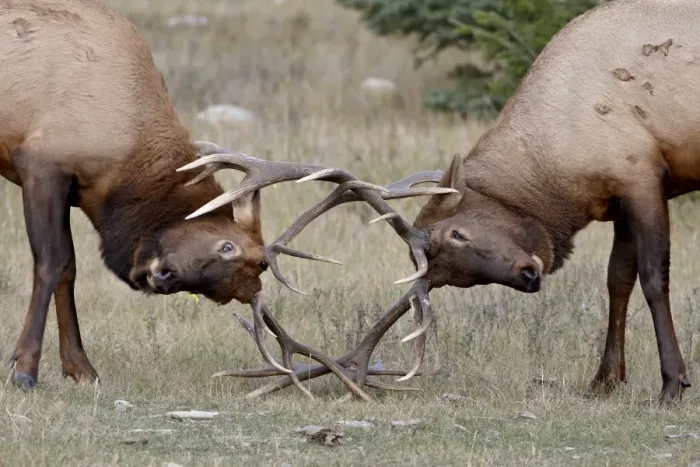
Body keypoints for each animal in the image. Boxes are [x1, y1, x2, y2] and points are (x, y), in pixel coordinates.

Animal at [0, 0, 455, 391]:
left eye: (221, 296)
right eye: (227, 246)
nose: (163, 277)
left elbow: (69, 270)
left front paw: (80, 368)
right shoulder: (41, 163)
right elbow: (53, 262)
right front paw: (24, 369)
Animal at [187, 0, 700, 405]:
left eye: (458, 232)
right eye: (456, 278)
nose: (528, 274)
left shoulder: (640, 176)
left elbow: (653, 279)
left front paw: (672, 383)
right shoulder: (618, 197)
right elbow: (617, 280)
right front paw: (604, 380)